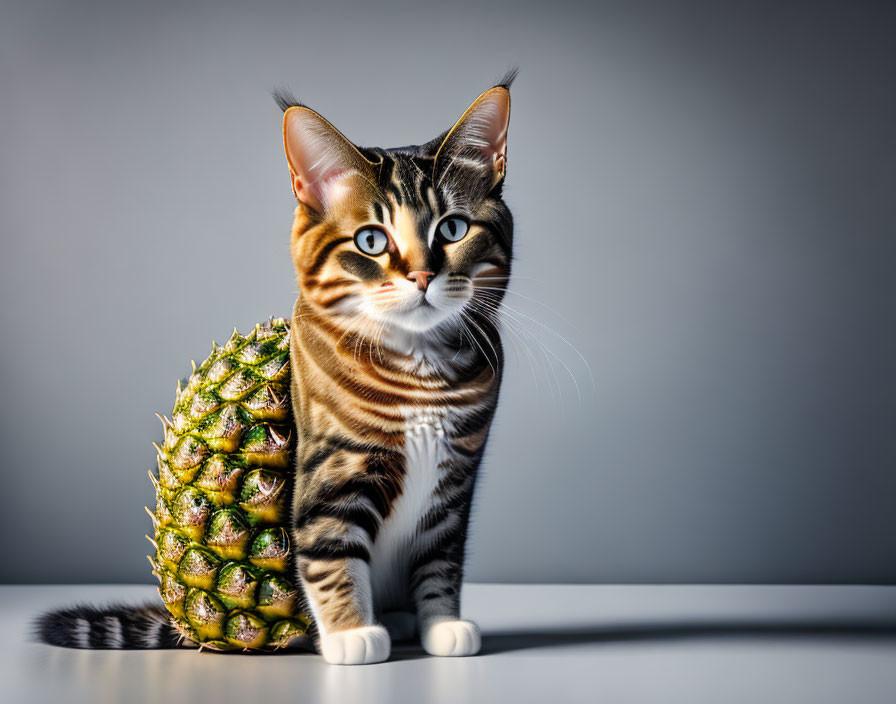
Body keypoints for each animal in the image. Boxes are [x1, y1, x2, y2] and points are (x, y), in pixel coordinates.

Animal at [35, 73, 516, 664]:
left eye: (452, 229)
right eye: (371, 241)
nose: (423, 276)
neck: (420, 372)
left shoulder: (455, 484)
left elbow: (441, 562)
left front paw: (442, 624)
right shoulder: (332, 469)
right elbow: (331, 552)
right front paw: (351, 633)